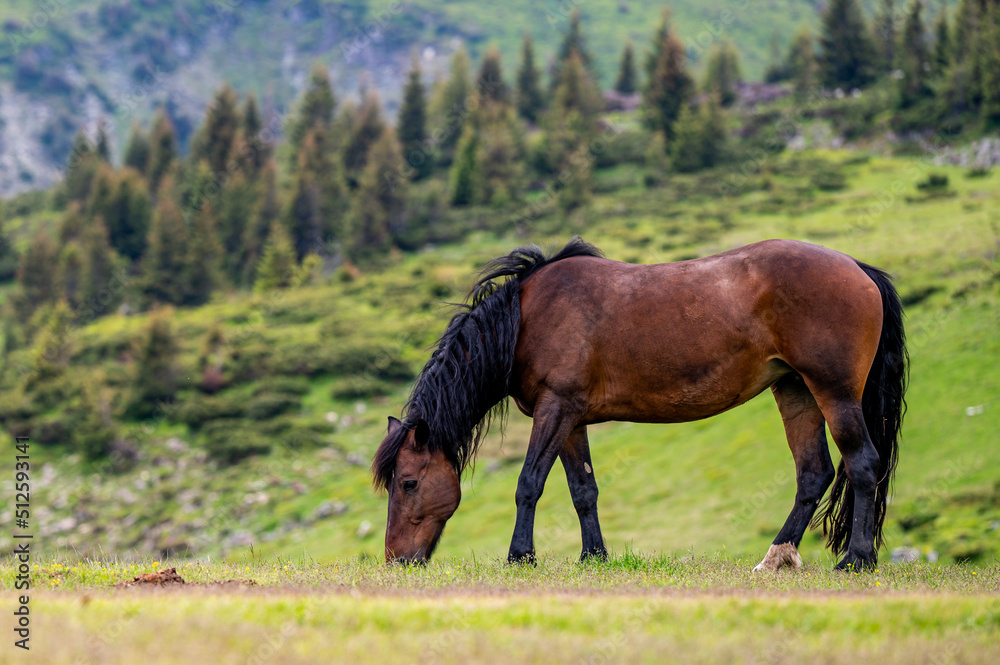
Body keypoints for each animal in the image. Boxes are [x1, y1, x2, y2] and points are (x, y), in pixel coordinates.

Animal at [372, 238, 907, 571]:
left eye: (408, 482)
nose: (397, 559)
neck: (526, 318)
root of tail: (858, 269)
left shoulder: (555, 409)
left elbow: (529, 483)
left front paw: (520, 555)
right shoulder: (571, 419)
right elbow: (583, 490)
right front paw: (594, 557)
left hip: (834, 393)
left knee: (862, 463)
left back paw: (857, 559)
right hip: (795, 390)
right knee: (814, 473)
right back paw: (775, 558)